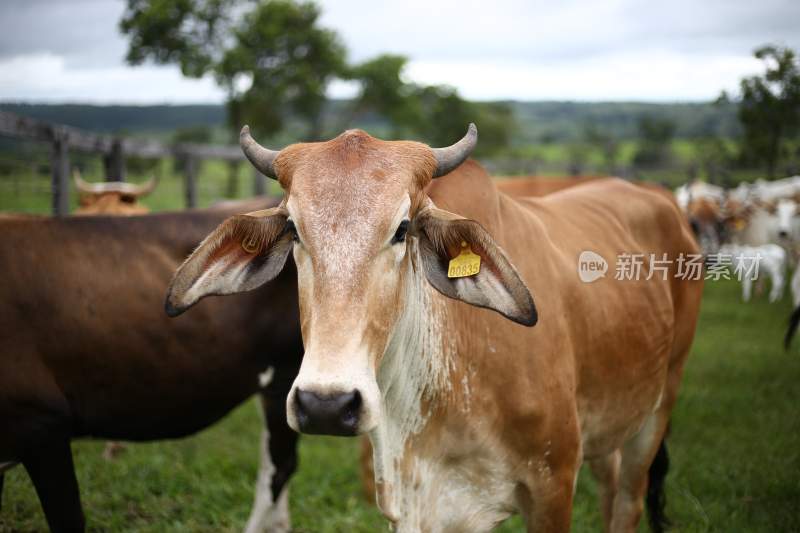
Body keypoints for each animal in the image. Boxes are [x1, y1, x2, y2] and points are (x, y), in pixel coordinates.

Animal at [167, 125, 700, 532]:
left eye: (402, 229)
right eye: (295, 229)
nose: (326, 404)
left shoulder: (554, 483)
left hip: (658, 408)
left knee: (628, 500)